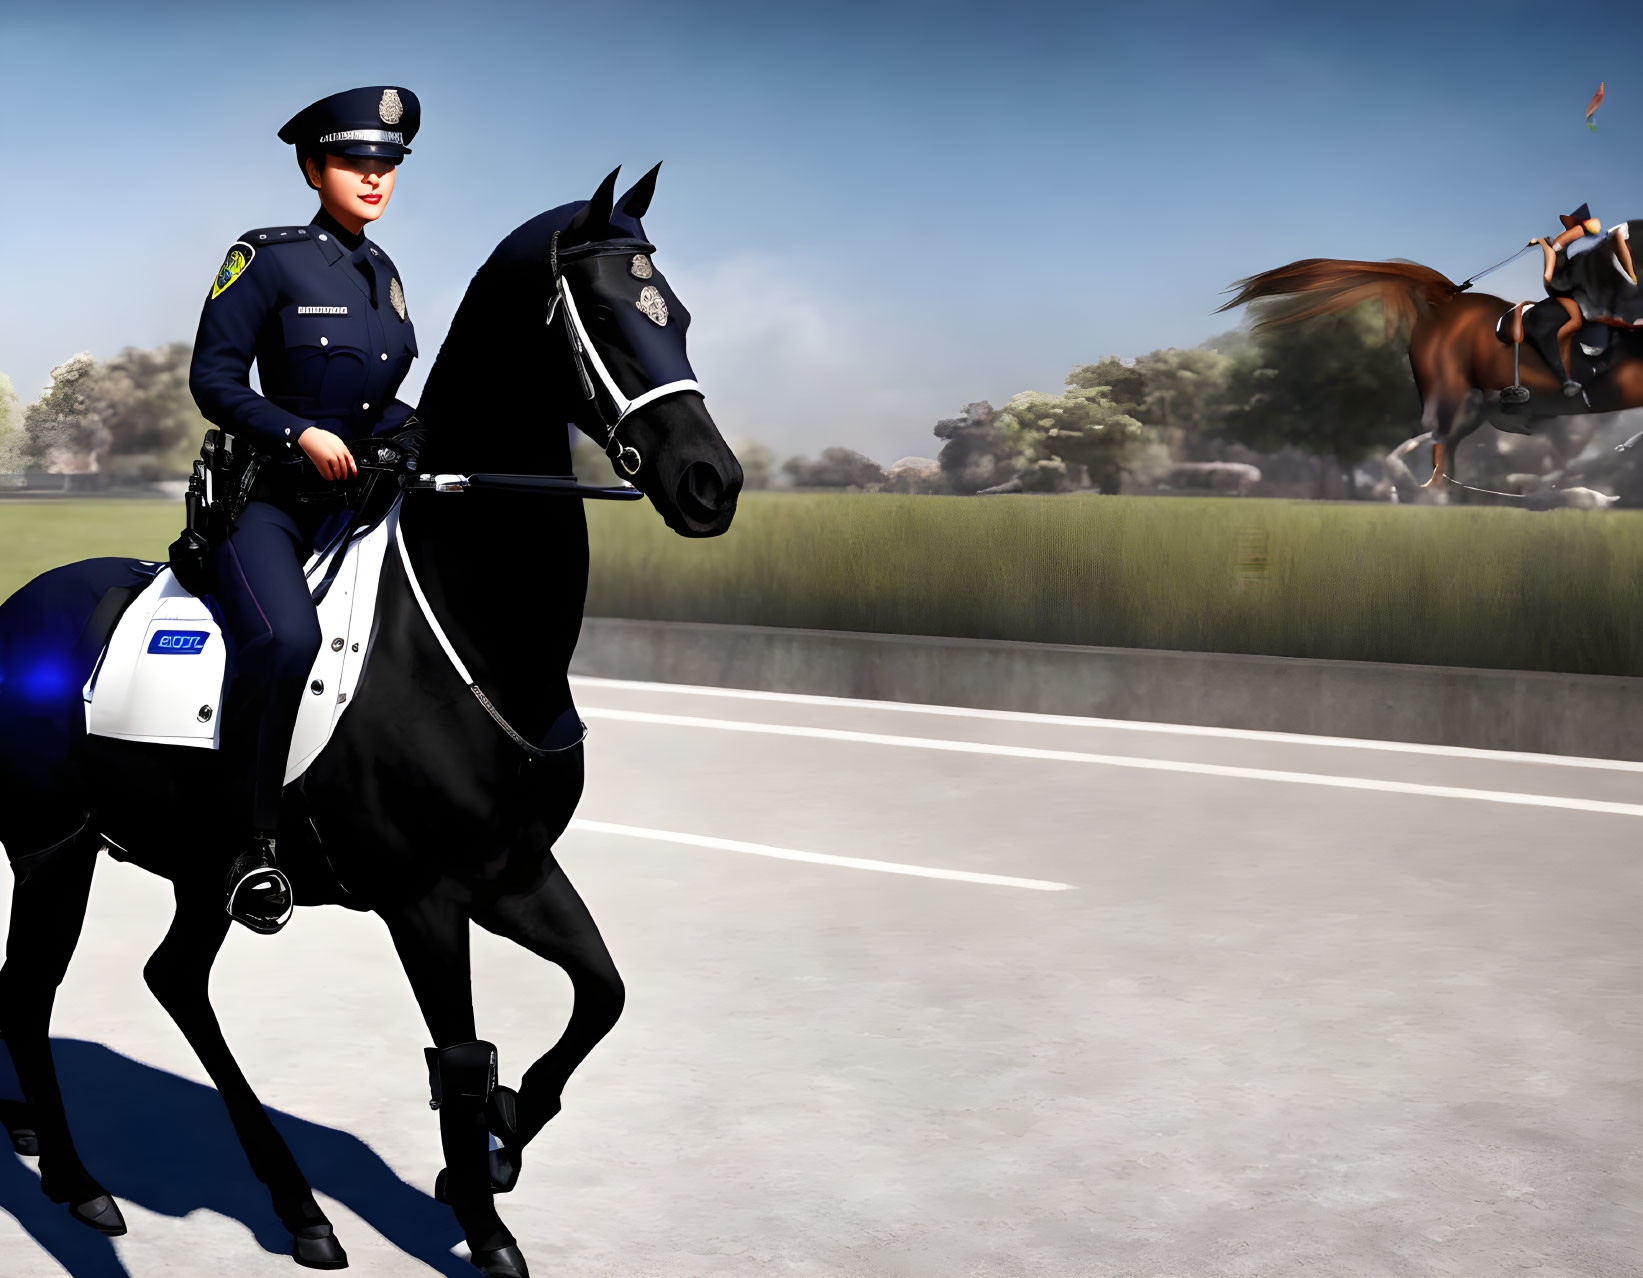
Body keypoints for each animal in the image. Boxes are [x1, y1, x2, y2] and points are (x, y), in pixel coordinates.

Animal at [0, 164, 739, 1268]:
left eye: (678, 316)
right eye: (604, 316)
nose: (710, 483)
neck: (472, 629)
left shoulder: (513, 871)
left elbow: (600, 995)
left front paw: (503, 1145)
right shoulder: (423, 898)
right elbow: (460, 1053)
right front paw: (483, 1218)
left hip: (196, 861)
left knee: (172, 981)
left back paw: (292, 1204)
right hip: (54, 849)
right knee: (30, 993)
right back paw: (81, 1184)